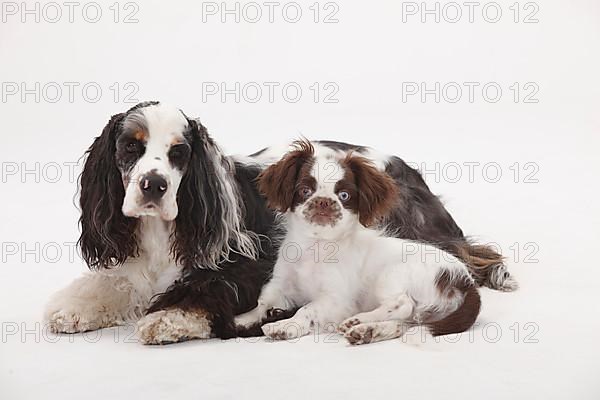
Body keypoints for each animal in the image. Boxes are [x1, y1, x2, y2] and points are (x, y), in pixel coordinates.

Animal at [234, 140, 482, 344]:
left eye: (344, 195)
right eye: (305, 190)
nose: (323, 201)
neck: (316, 246)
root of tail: (465, 281)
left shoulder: (336, 299)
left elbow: (306, 309)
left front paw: (285, 325)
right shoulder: (281, 285)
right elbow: (263, 303)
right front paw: (242, 319)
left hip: (391, 276)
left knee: (402, 304)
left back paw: (358, 320)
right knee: (402, 323)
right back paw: (367, 331)